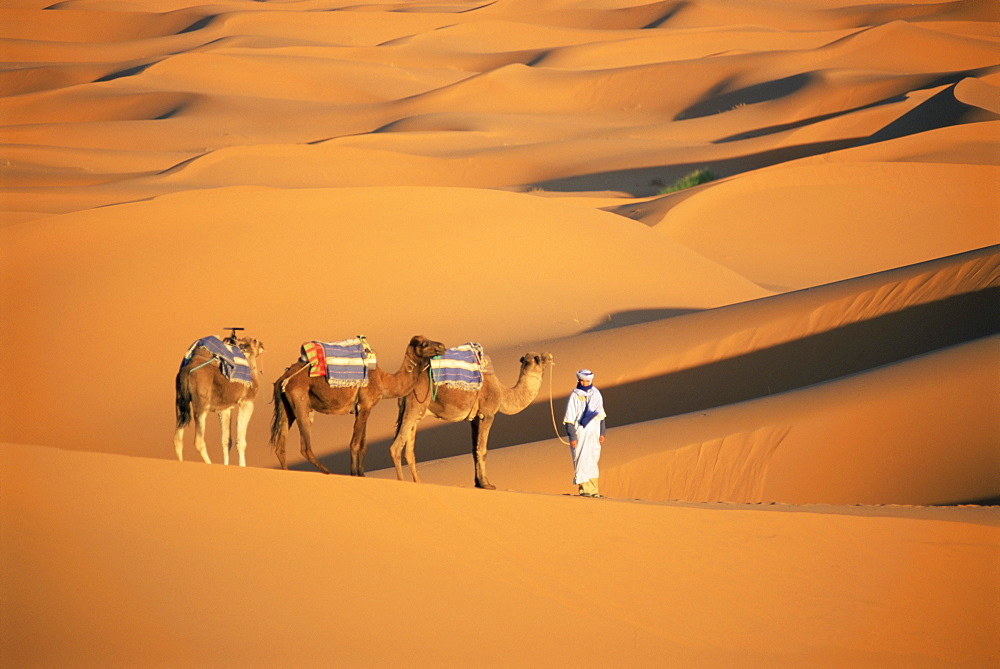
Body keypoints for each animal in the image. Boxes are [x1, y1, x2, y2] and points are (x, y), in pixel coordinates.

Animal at [174, 336, 266, 468]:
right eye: (254, 341)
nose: (262, 344)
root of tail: (186, 370)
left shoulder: (224, 409)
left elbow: (226, 441)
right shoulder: (246, 402)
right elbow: (241, 442)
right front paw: (242, 466)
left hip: (180, 401)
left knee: (177, 437)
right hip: (201, 405)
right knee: (198, 440)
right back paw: (209, 463)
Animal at [272, 334, 448, 474]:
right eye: (423, 344)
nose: (442, 346)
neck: (384, 381)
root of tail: (283, 378)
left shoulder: (363, 408)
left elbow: (363, 445)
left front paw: (361, 475)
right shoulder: (364, 405)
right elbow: (355, 444)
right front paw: (355, 475)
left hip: (288, 407)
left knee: (280, 445)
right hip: (300, 401)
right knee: (305, 447)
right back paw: (328, 473)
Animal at [388, 352, 552, 488]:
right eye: (538, 358)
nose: (549, 356)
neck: (503, 393)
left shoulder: (474, 419)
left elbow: (474, 450)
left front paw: (478, 483)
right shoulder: (487, 414)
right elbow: (483, 449)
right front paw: (487, 484)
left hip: (414, 410)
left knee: (409, 449)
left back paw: (419, 482)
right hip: (415, 403)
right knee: (396, 446)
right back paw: (402, 482)